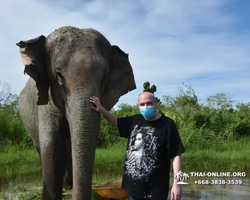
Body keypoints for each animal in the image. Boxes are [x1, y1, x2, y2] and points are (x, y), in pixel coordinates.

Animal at [16, 25, 136, 199]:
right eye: (58, 75)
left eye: (105, 78)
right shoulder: (45, 100)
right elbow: (52, 145)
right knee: (41, 146)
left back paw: (68, 185)